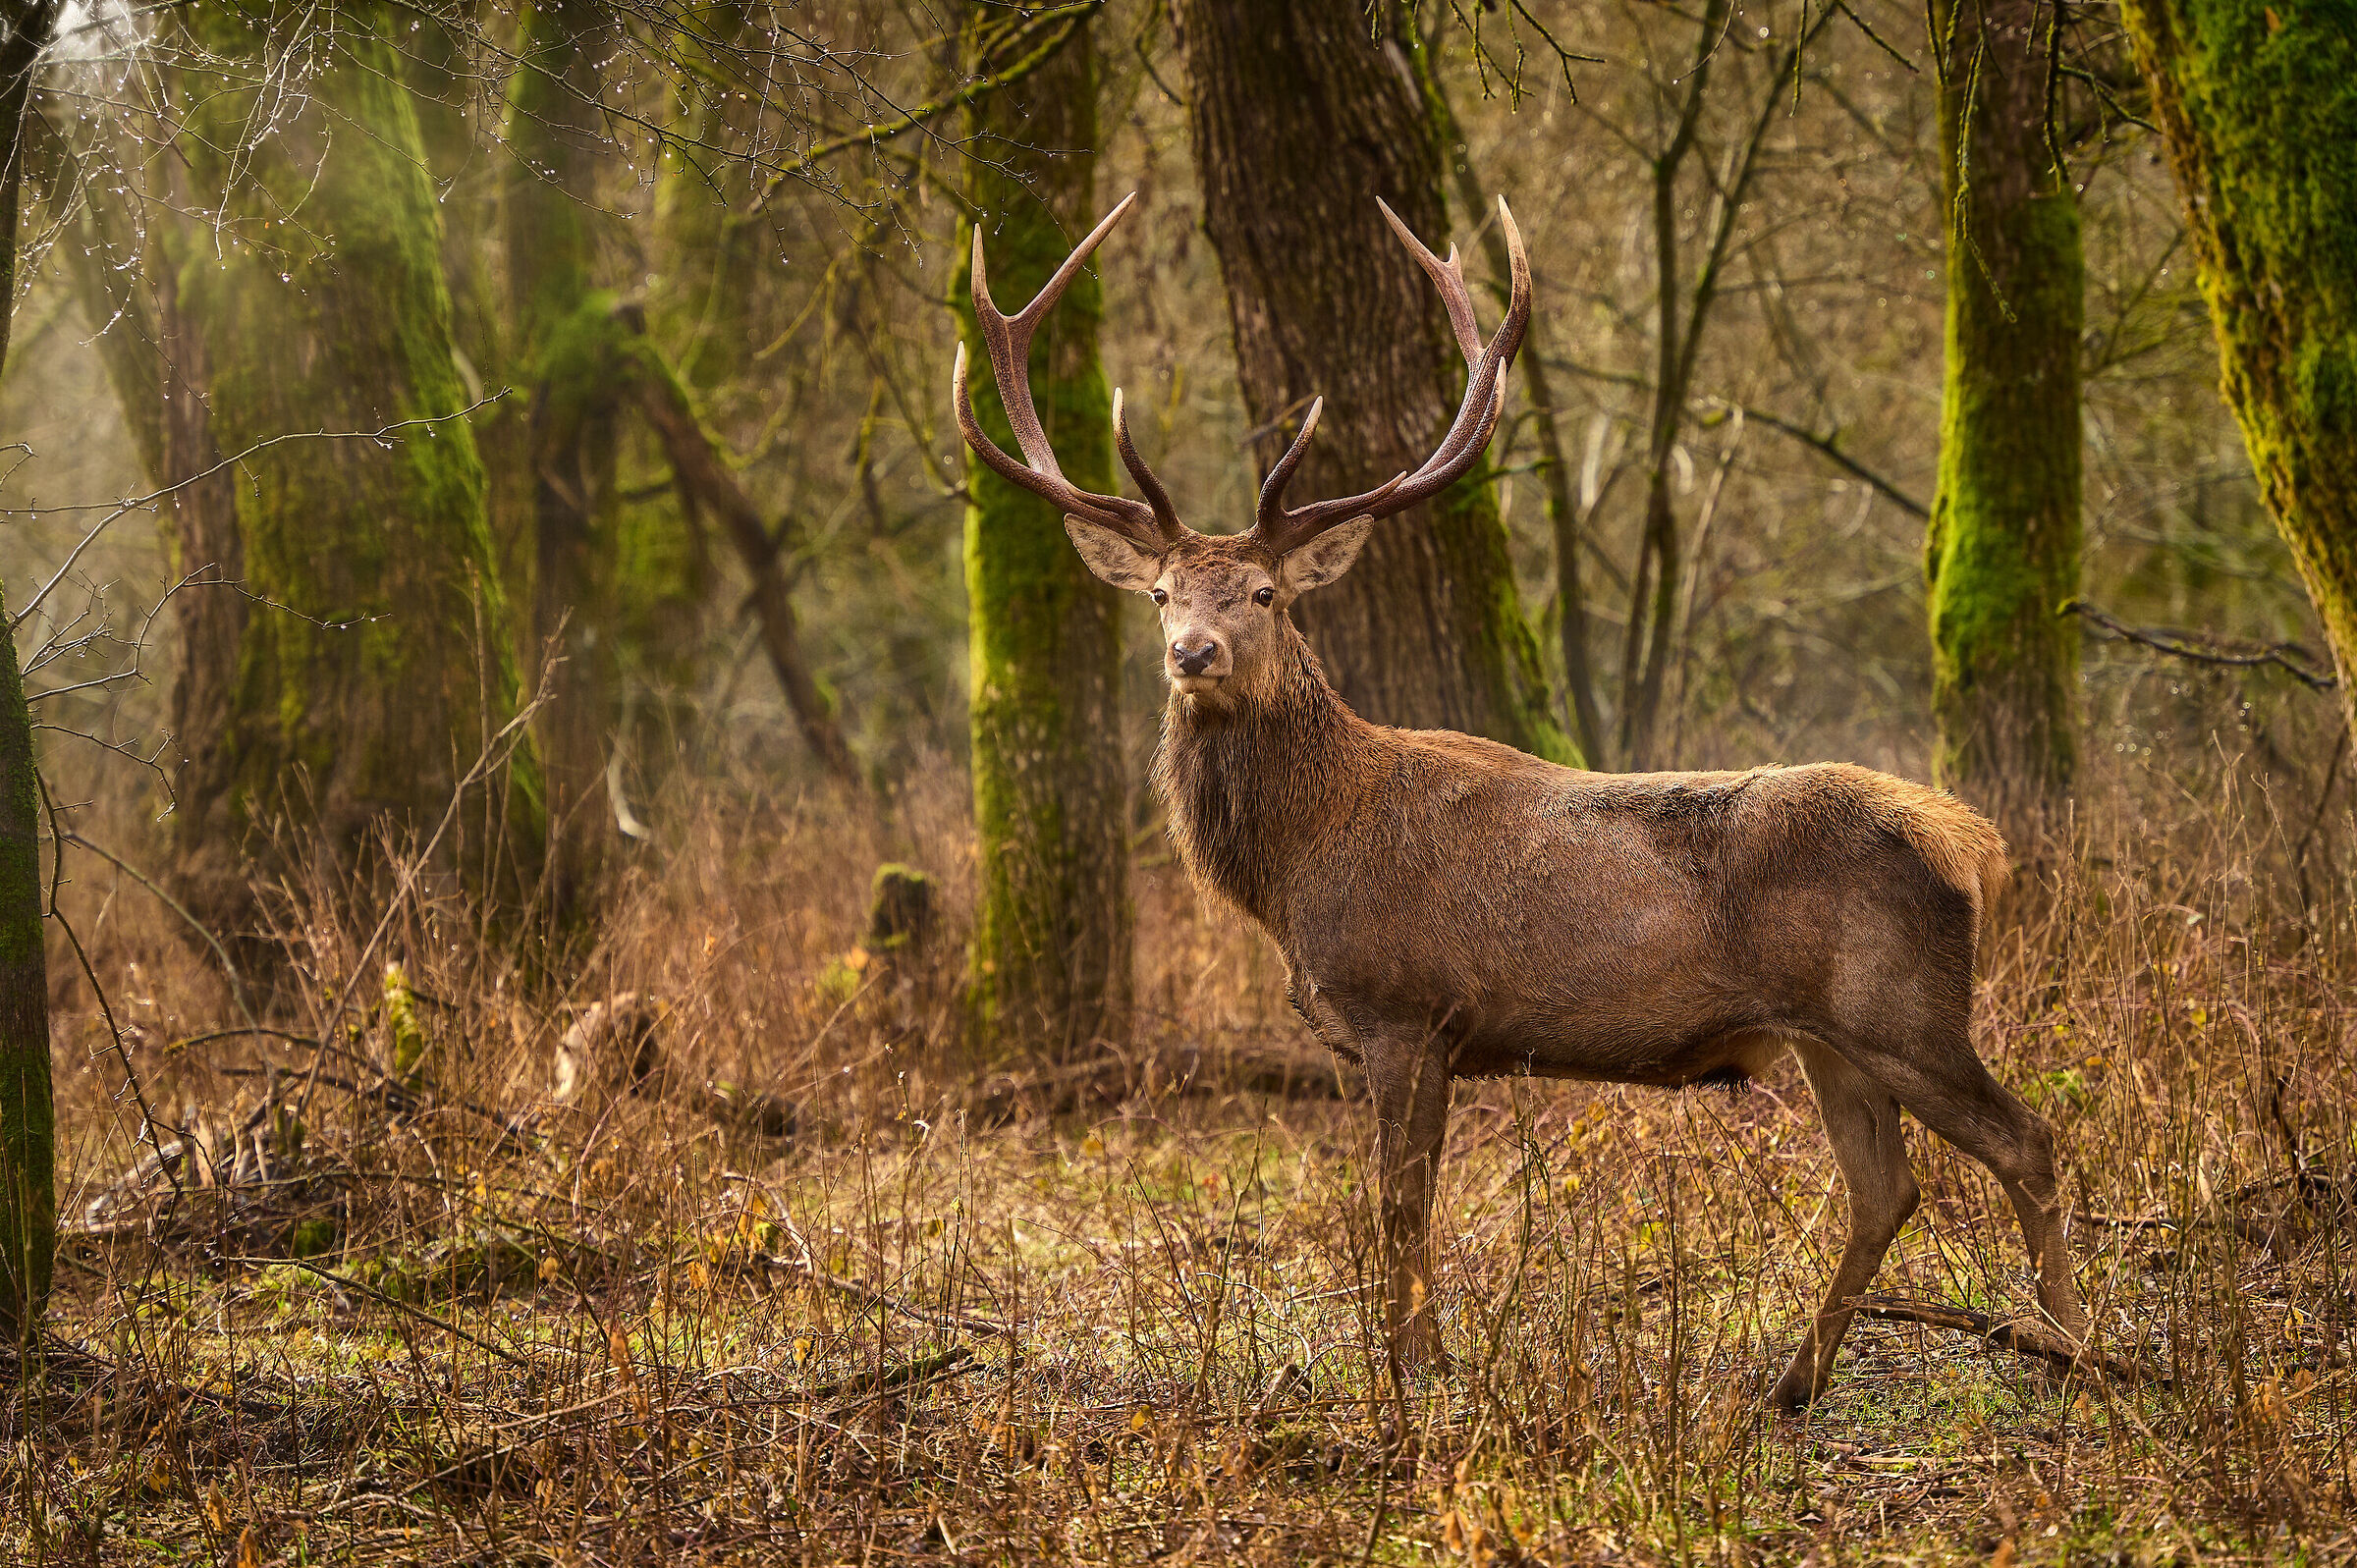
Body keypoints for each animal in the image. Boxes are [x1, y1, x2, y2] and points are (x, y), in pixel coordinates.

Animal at [949, 192, 2091, 1408]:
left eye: (1262, 592)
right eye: (1162, 592)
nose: (1192, 654)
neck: (1298, 865)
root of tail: (1973, 842)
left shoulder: (1403, 1007)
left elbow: (1398, 1204)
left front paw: (1408, 1370)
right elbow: (1410, 1203)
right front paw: (1430, 1357)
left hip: (1904, 1009)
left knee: (2027, 1138)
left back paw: (2075, 1349)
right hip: (1831, 1037)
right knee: (1889, 1186)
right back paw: (1795, 1378)